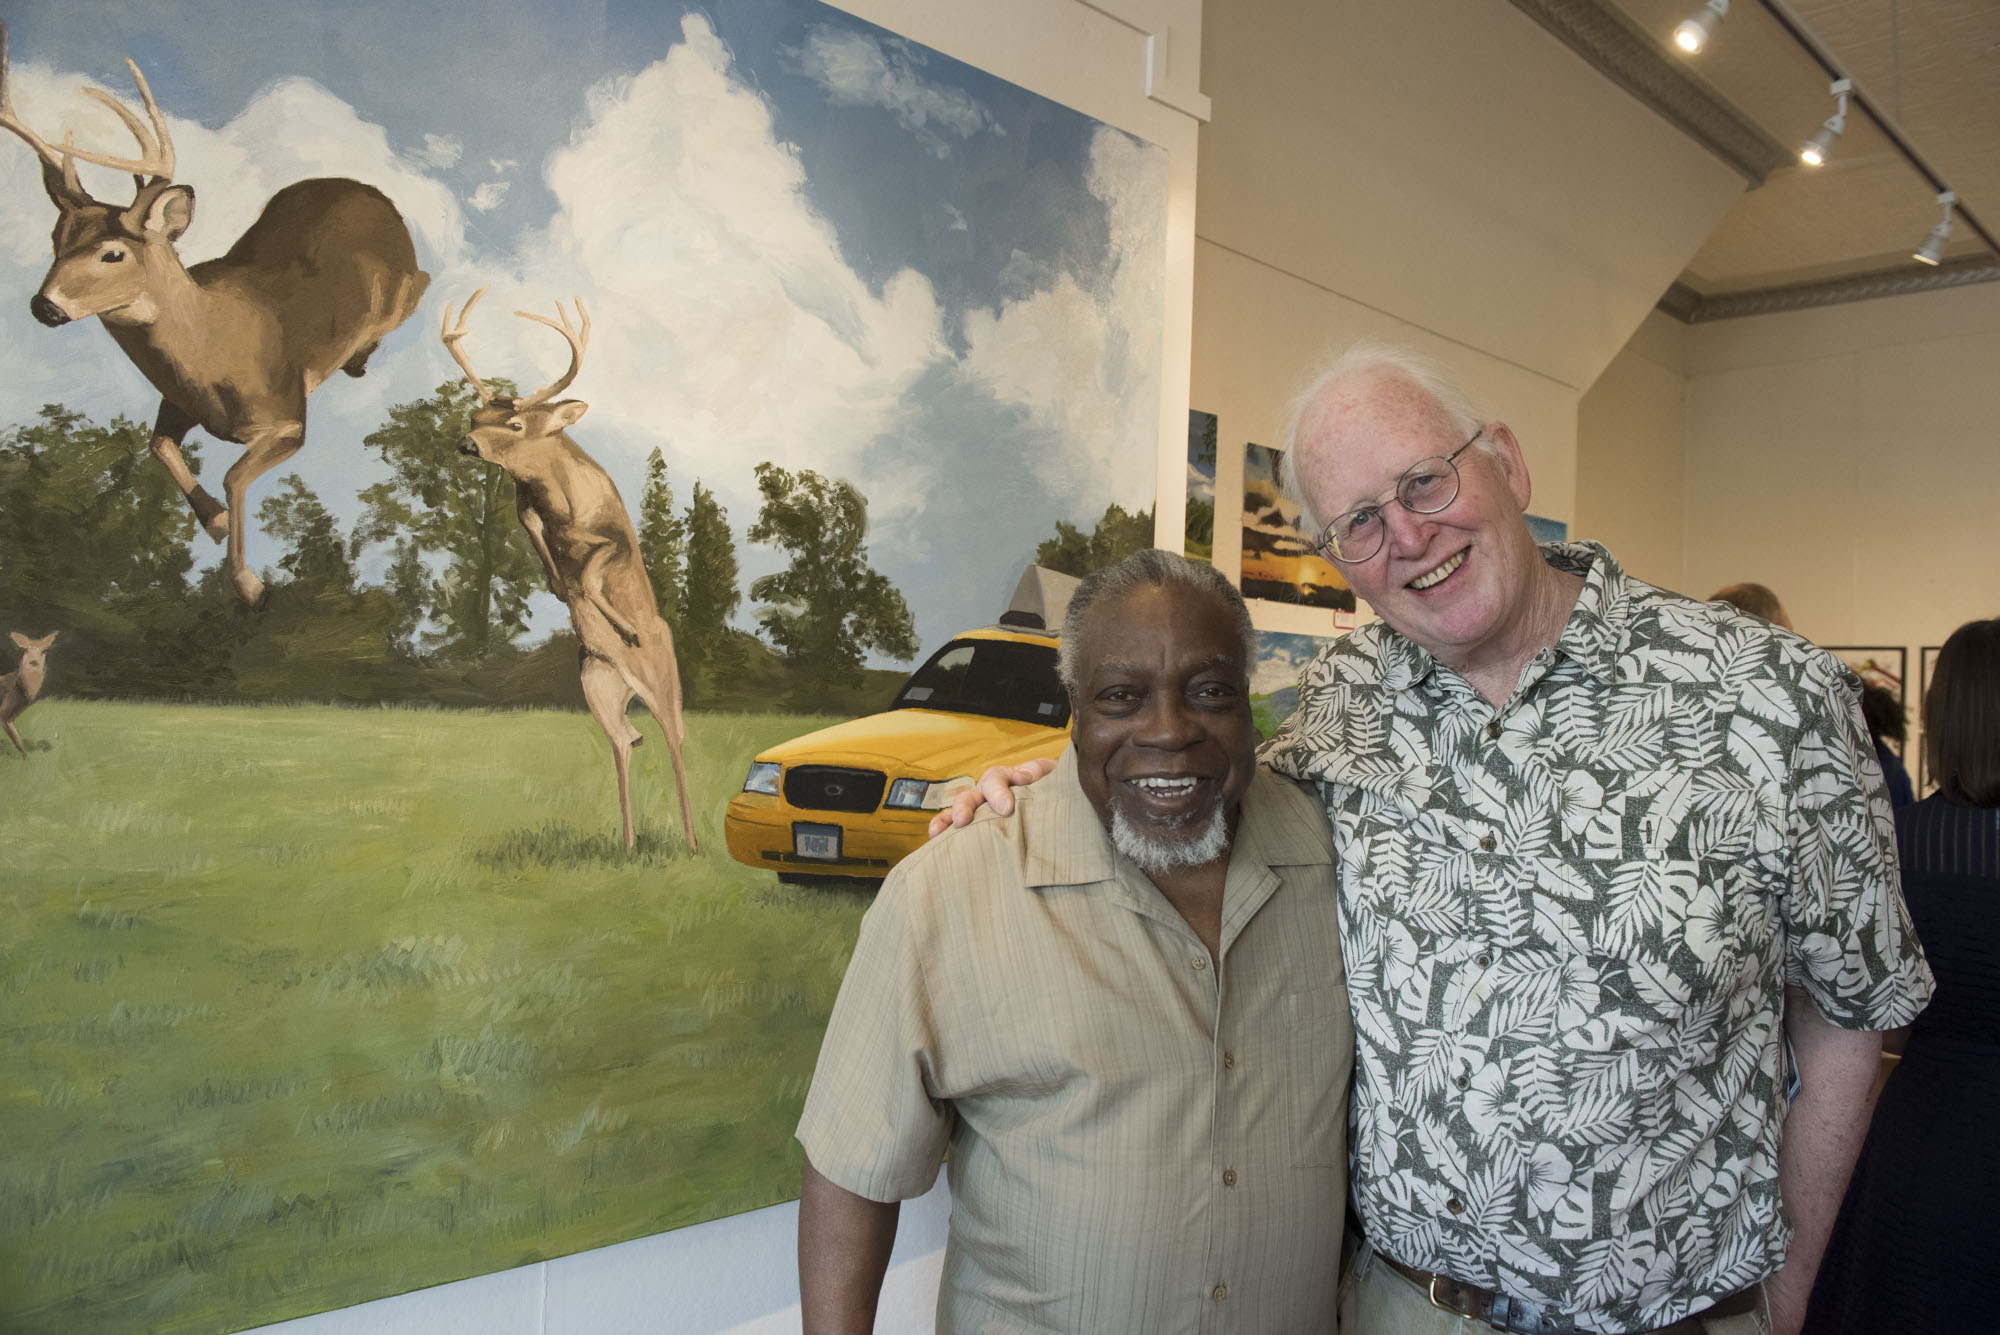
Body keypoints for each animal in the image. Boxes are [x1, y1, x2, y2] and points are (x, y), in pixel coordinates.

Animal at [1, 23, 426, 607]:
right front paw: (217, 522)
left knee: (419, 289)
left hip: (401, 289)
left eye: (112, 253)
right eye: (55, 240)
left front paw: (249, 584)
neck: (210, 352)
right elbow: (158, 445)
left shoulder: (289, 416)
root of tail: (364, 189)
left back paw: (360, 358)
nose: (44, 305)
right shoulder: (176, 402)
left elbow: (234, 476)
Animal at [446, 289, 704, 855]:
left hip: (664, 681)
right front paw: (558, 586)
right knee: (627, 743)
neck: (561, 498)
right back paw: (628, 843)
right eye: (473, 417)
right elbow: (541, 543)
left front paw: (621, 623)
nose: (466, 445)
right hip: (597, 689)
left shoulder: (616, 539)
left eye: (515, 424)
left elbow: (592, 570)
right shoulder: (527, 508)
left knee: (675, 741)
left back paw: (692, 843)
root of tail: (630, 684)